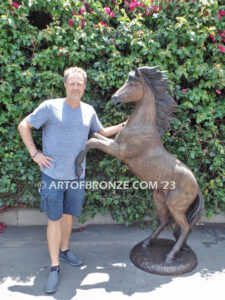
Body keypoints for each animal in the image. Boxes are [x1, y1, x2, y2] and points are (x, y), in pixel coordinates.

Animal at [75, 67, 204, 262]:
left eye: (132, 83)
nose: (114, 98)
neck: (141, 127)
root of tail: (196, 187)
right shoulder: (114, 144)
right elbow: (94, 137)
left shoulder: (119, 151)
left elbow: (92, 142)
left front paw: (78, 166)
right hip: (159, 198)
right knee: (165, 221)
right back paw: (148, 243)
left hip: (175, 206)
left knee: (185, 227)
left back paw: (170, 256)